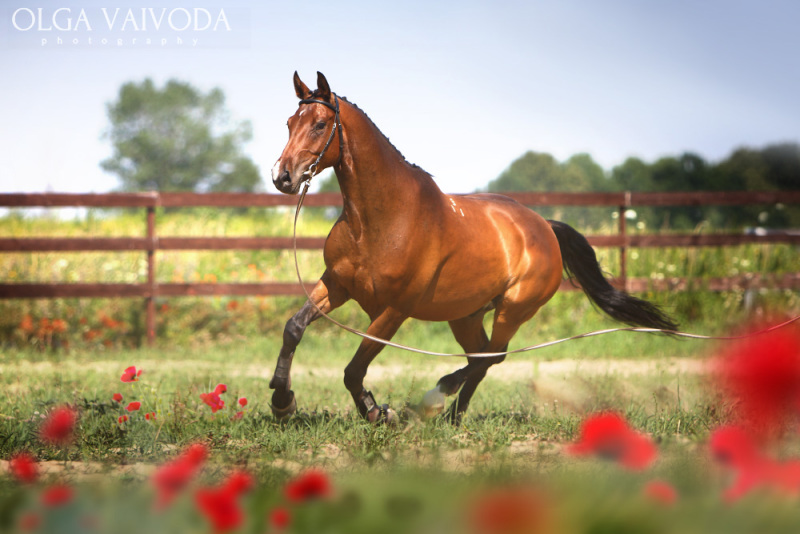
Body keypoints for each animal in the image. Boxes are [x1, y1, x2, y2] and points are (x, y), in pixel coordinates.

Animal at [268, 71, 676, 426]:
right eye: (289, 122)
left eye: (320, 124)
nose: (283, 177)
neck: (382, 219)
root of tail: (545, 227)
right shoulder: (337, 285)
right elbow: (294, 328)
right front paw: (282, 401)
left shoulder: (394, 310)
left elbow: (354, 370)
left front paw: (376, 412)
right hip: (465, 315)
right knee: (481, 356)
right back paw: (453, 417)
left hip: (513, 309)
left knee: (492, 355)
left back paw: (435, 400)